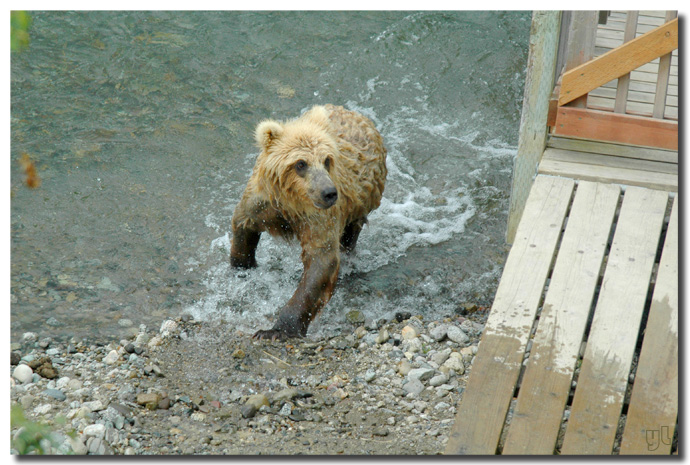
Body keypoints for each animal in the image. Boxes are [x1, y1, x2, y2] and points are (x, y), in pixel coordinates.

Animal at [228, 103, 384, 338]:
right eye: (301, 163)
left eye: (327, 160)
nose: (329, 193)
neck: (291, 204)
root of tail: (353, 113)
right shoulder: (262, 203)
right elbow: (243, 226)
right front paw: (242, 266)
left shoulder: (318, 217)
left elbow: (321, 262)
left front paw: (277, 329)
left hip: (361, 201)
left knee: (349, 236)